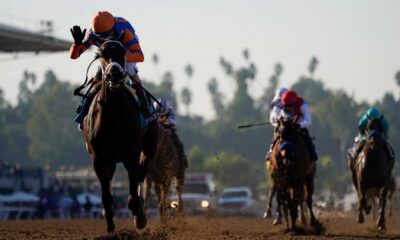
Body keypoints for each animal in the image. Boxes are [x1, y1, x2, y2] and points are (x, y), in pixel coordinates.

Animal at [83, 39, 153, 232]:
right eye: (101, 54)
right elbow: (106, 195)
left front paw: (140, 217)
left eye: (123, 53)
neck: (113, 117)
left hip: (149, 148)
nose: (114, 74)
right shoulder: (99, 159)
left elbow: (133, 196)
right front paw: (109, 222)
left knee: (142, 173)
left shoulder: (131, 155)